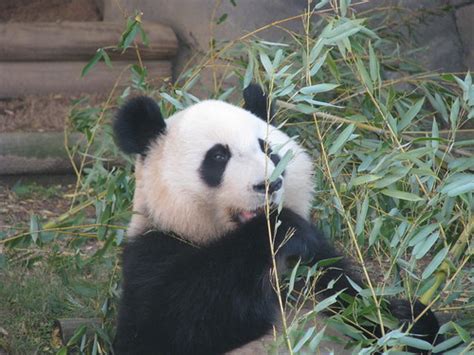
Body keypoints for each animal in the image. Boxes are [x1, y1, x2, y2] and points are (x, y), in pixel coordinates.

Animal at [113, 85, 442, 354]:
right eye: (218, 157)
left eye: (267, 149)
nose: (268, 184)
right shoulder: (153, 251)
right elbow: (170, 325)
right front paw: (281, 228)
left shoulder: (316, 267)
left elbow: (354, 304)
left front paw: (409, 318)